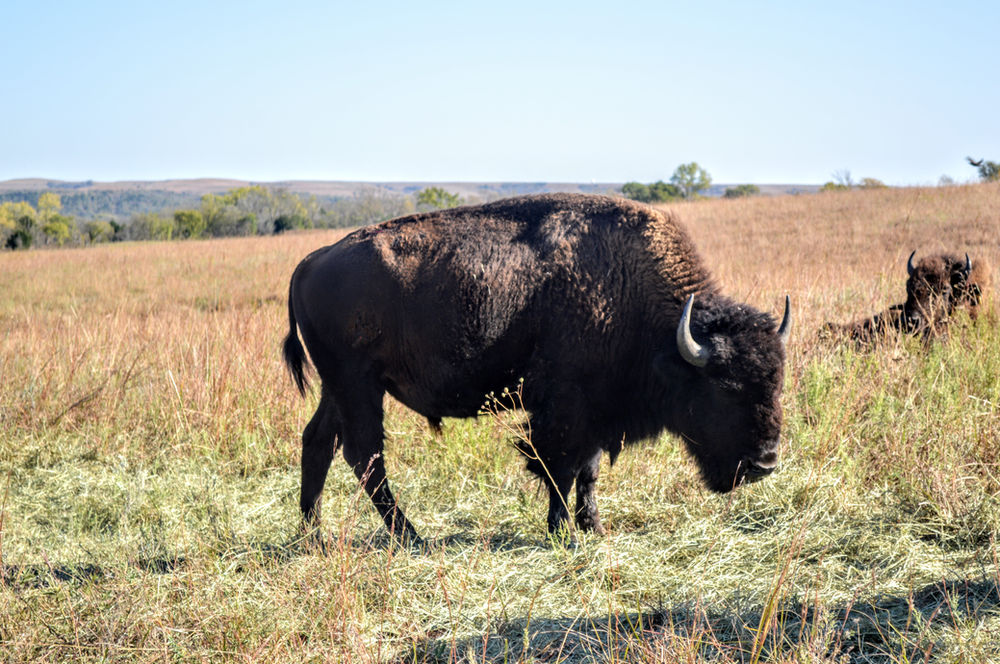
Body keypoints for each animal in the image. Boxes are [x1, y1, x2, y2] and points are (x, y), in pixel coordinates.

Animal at [283, 194, 791, 541]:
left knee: (319, 442)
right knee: (365, 456)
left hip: (340, 387)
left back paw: (314, 533)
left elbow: (587, 471)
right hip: (358, 385)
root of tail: (310, 261)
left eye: (777, 383)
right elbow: (558, 467)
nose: (764, 463)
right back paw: (411, 537)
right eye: (724, 387)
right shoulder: (566, 407)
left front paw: (593, 527)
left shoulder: (595, 411)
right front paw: (562, 532)